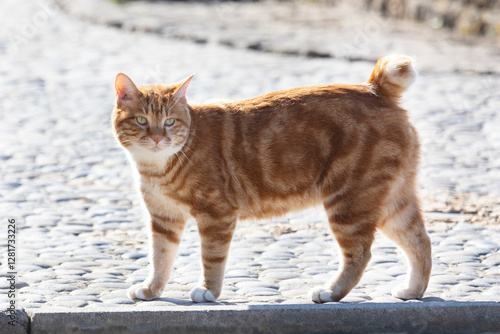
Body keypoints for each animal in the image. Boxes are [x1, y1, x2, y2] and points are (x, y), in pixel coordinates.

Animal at [111, 54, 432, 302]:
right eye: (141, 120)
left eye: (169, 122)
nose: (157, 138)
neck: (157, 167)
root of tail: (374, 88)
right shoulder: (164, 219)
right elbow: (160, 258)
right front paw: (152, 290)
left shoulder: (216, 214)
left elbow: (211, 258)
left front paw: (209, 291)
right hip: (392, 202)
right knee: (421, 242)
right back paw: (412, 291)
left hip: (350, 202)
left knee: (361, 253)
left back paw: (330, 292)